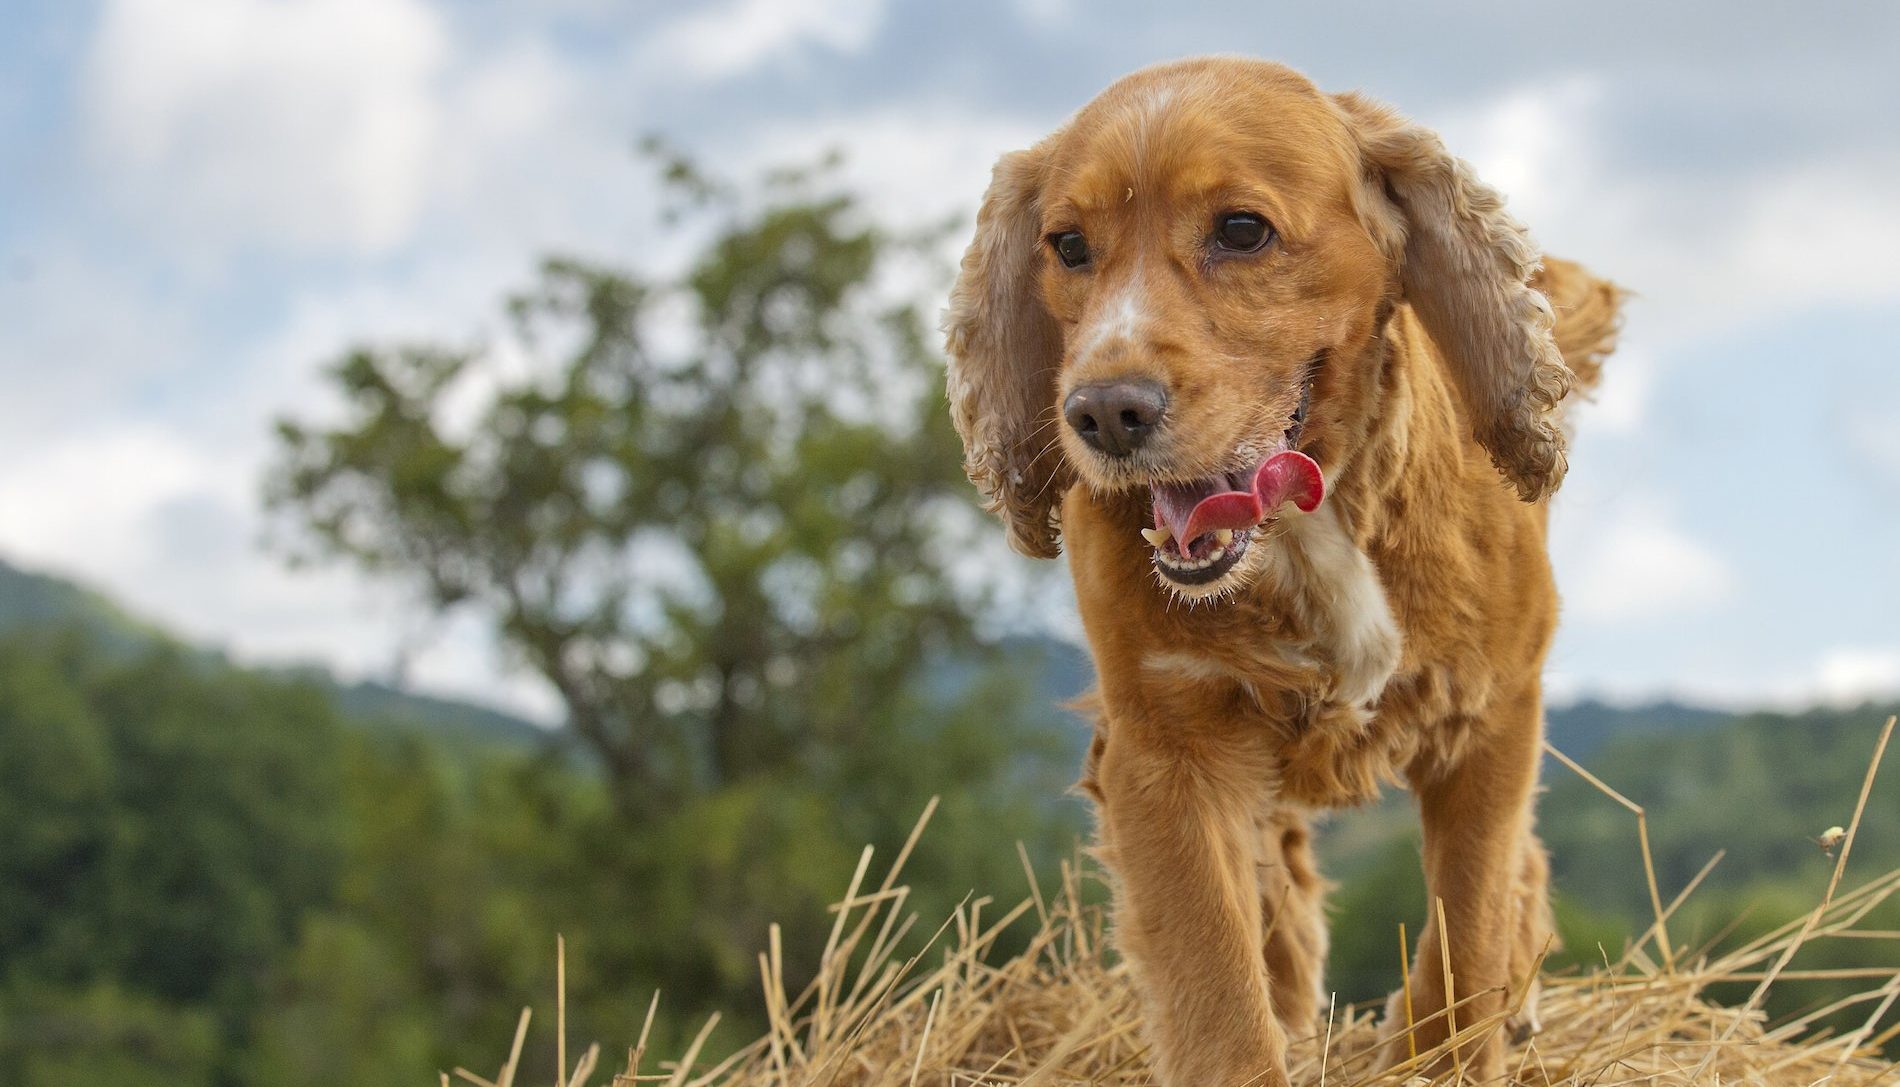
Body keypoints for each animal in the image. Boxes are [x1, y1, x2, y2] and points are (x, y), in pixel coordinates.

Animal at [942, 59, 1626, 1087]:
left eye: (1241, 230)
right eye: (1067, 246)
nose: (1101, 413)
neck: (1306, 524)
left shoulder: (1491, 717)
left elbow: (1466, 942)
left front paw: (1455, 1037)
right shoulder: (1166, 747)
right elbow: (1221, 989)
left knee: (1513, 877)